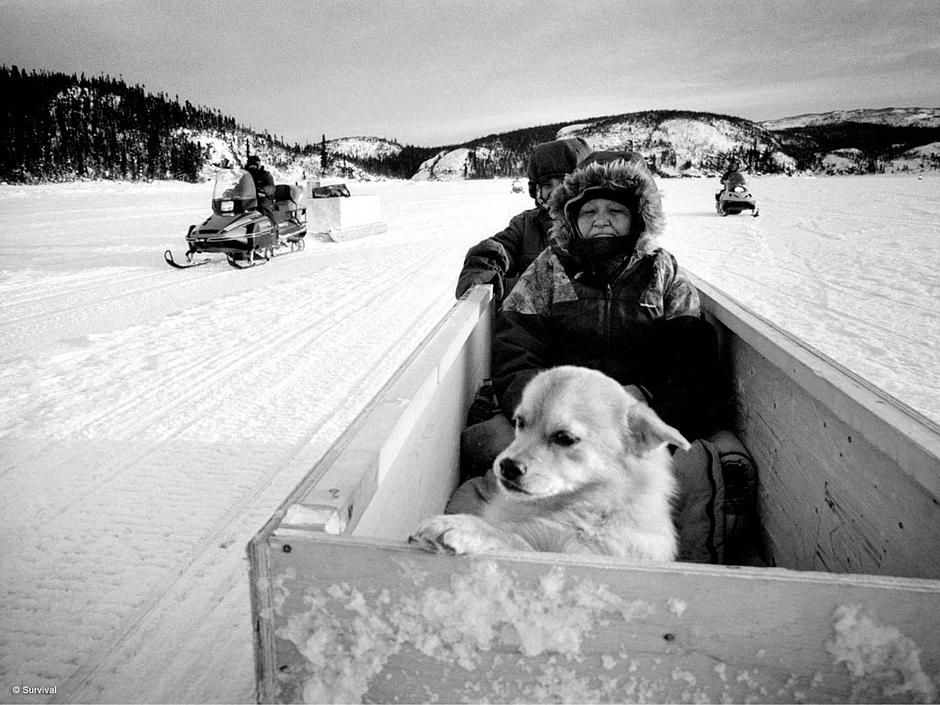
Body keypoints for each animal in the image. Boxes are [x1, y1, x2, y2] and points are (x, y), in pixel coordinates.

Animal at [412, 366, 692, 560]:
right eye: (519, 422)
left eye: (564, 438)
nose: (507, 466)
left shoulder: (574, 553)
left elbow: (516, 541)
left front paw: (468, 529)